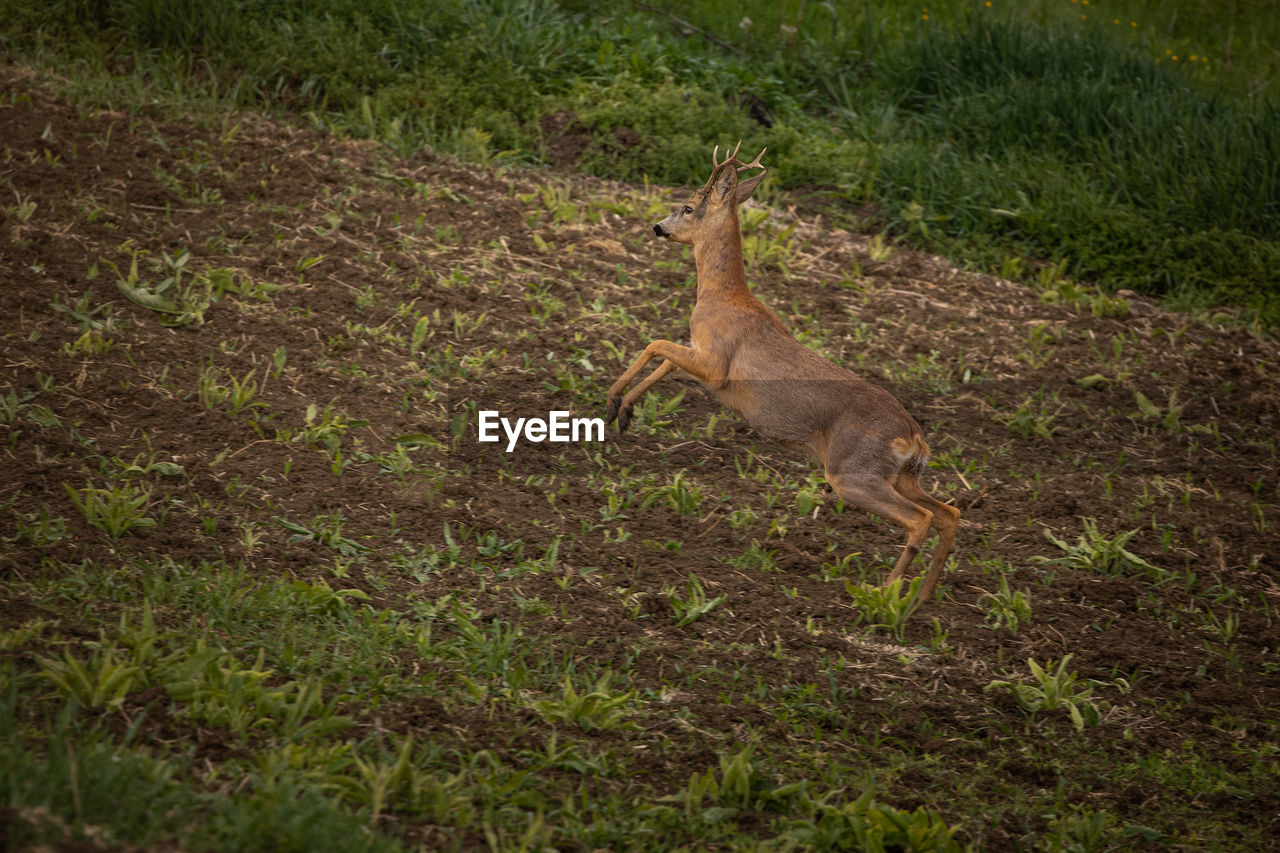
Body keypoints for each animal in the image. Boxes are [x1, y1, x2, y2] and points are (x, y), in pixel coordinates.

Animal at [606, 140, 962, 596]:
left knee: (922, 519)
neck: (721, 295)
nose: (657, 227)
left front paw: (613, 401)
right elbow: (665, 361)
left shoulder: (717, 364)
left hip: (852, 469)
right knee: (949, 513)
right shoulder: (704, 359)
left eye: (687, 207)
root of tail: (914, 437)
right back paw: (921, 596)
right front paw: (624, 411)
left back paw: (883, 595)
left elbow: (655, 346)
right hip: (899, 475)